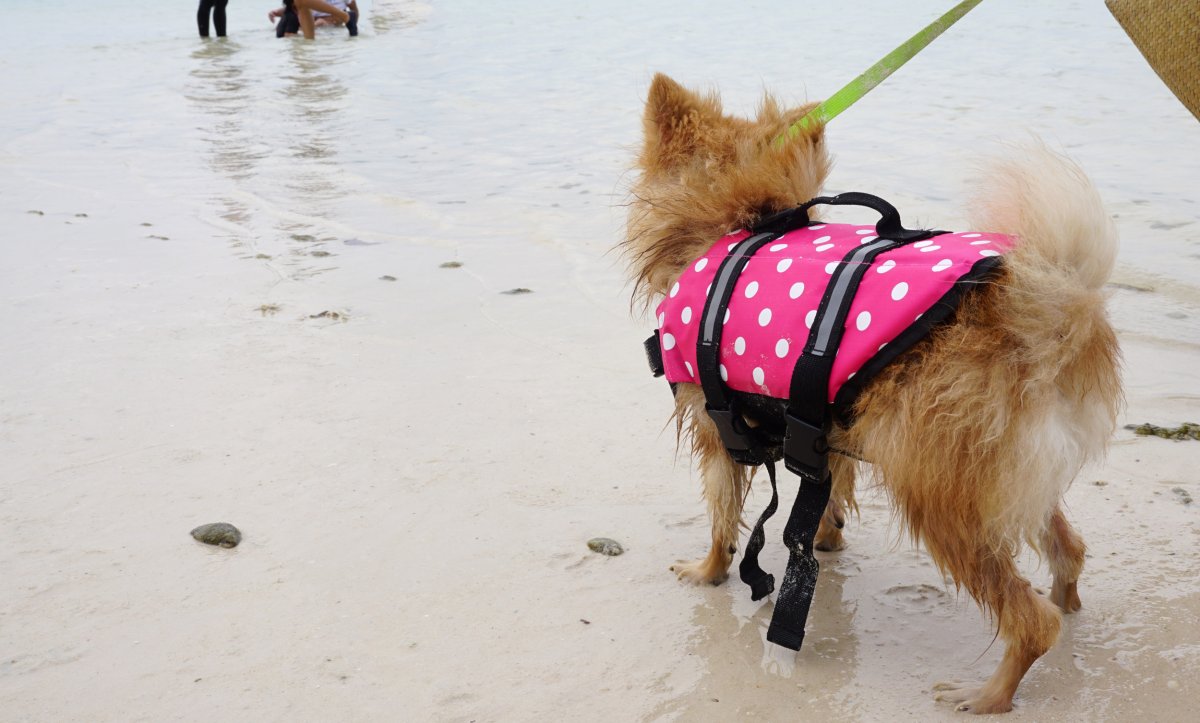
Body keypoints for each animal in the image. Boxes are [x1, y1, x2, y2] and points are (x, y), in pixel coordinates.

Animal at [624, 71, 1118, 710]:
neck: (745, 221)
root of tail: (1053, 320)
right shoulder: (821, 424)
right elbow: (827, 491)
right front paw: (826, 537)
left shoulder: (718, 428)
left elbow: (721, 513)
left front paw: (708, 571)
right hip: (1009, 482)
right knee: (1067, 550)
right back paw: (1067, 605)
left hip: (938, 492)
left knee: (1029, 622)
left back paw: (989, 693)